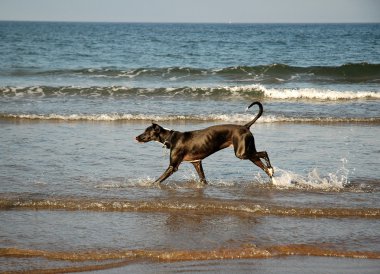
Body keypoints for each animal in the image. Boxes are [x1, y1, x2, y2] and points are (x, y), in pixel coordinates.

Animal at [136, 101, 274, 184]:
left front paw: (150, 185)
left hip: (242, 153)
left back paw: (271, 169)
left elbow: (158, 180)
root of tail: (245, 126)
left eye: (146, 131)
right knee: (262, 162)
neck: (171, 137)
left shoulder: (173, 166)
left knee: (265, 153)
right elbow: (203, 179)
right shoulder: (197, 163)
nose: (136, 137)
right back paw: (271, 173)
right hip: (248, 151)